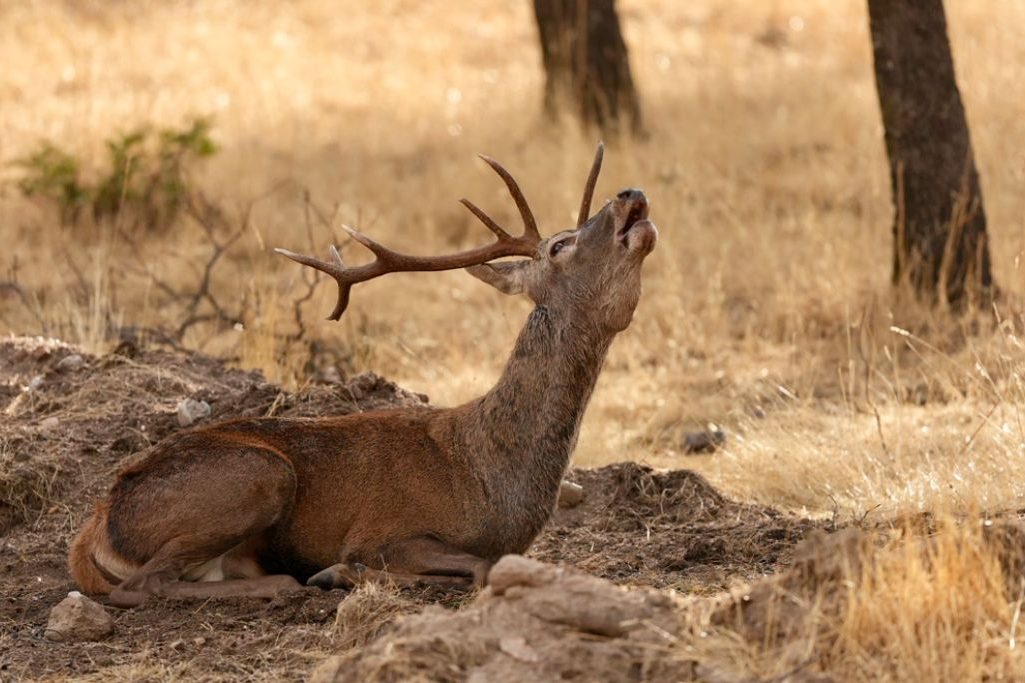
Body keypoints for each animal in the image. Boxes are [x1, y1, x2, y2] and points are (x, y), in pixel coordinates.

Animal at [68, 144, 658, 608]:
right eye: (560, 244)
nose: (631, 193)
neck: (488, 476)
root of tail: (96, 524)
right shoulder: (385, 530)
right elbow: (475, 566)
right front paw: (343, 572)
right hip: (256, 475)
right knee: (143, 585)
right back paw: (291, 582)